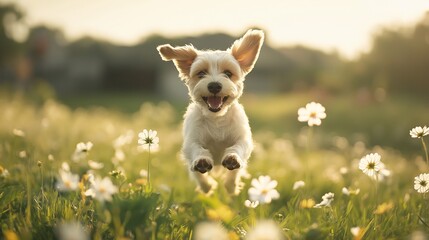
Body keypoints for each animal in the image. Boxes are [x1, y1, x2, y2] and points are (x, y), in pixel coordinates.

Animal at [157, 30, 264, 195]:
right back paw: (207, 186)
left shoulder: (243, 138)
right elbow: (196, 149)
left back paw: (231, 186)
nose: (214, 85)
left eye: (228, 73)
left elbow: (238, 147)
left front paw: (232, 158)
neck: (216, 119)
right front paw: (202, 160)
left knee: (233, 175)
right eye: (201, 73)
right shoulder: (191, 141)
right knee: (199, 177)